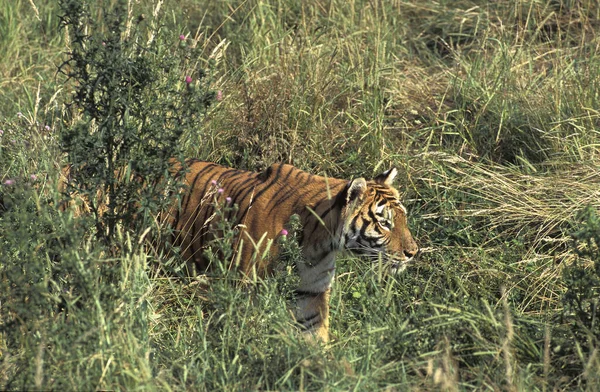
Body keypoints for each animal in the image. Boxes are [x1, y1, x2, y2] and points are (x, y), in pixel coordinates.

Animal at [162, 161, 420, 342]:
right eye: (384, 223)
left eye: (403, 218)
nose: (414, 252)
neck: (318, 245)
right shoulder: (246, 292)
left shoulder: (310, 293)